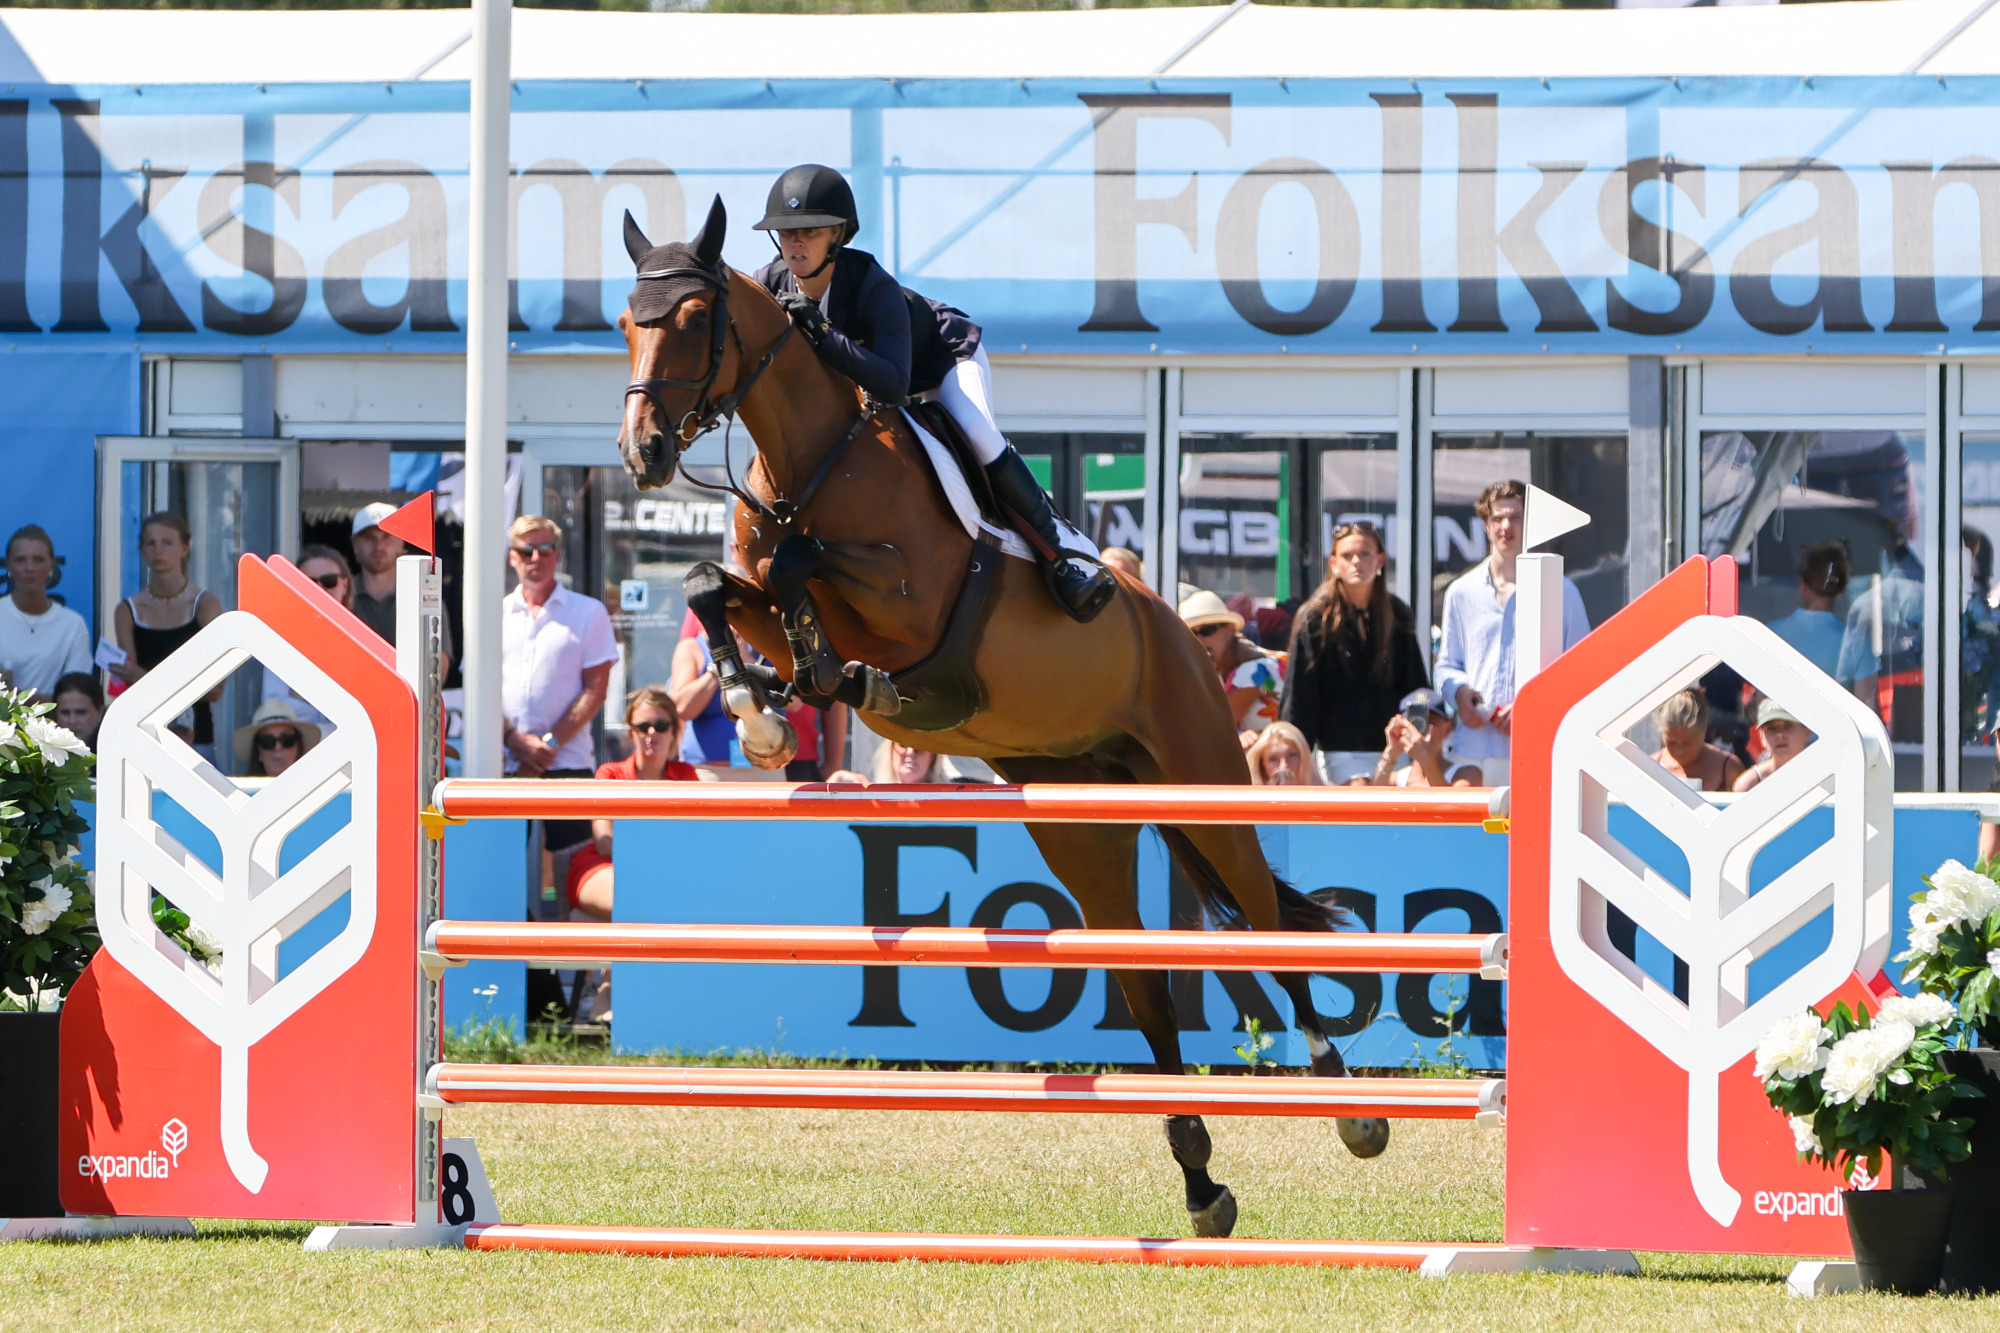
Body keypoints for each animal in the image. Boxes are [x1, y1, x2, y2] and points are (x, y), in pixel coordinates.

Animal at [615, 196, 1389, 1237]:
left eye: (695, 319)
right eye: (629, 319)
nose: (644, 452)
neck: (811, 457)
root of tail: (1178, 634)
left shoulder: (910, 603)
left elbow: (801, 569)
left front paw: (815, 687)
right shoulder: (766, 587)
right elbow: (716, 582)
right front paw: (763, 708)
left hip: (1203, 775)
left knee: (1264, 918)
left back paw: (1347, 1103)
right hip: (1082, 823)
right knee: (1146, 980)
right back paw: (1200, 1178)